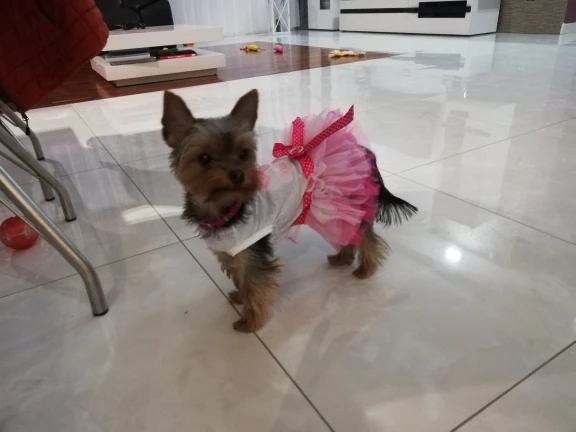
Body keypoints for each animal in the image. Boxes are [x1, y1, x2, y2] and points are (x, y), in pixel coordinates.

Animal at [162, 89, 417, 333]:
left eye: (244, 154)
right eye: (204, 158)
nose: (238, 174)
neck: (226, 207)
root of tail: (362, 150)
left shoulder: (252, 252)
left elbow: (255, 286)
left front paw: (249, 322)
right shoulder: (232, 252)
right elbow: (241, 279)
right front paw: (239, 296)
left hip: (345, 200)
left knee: (366, 237)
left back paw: (366, 269)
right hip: (337, 208)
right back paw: (342, 258)